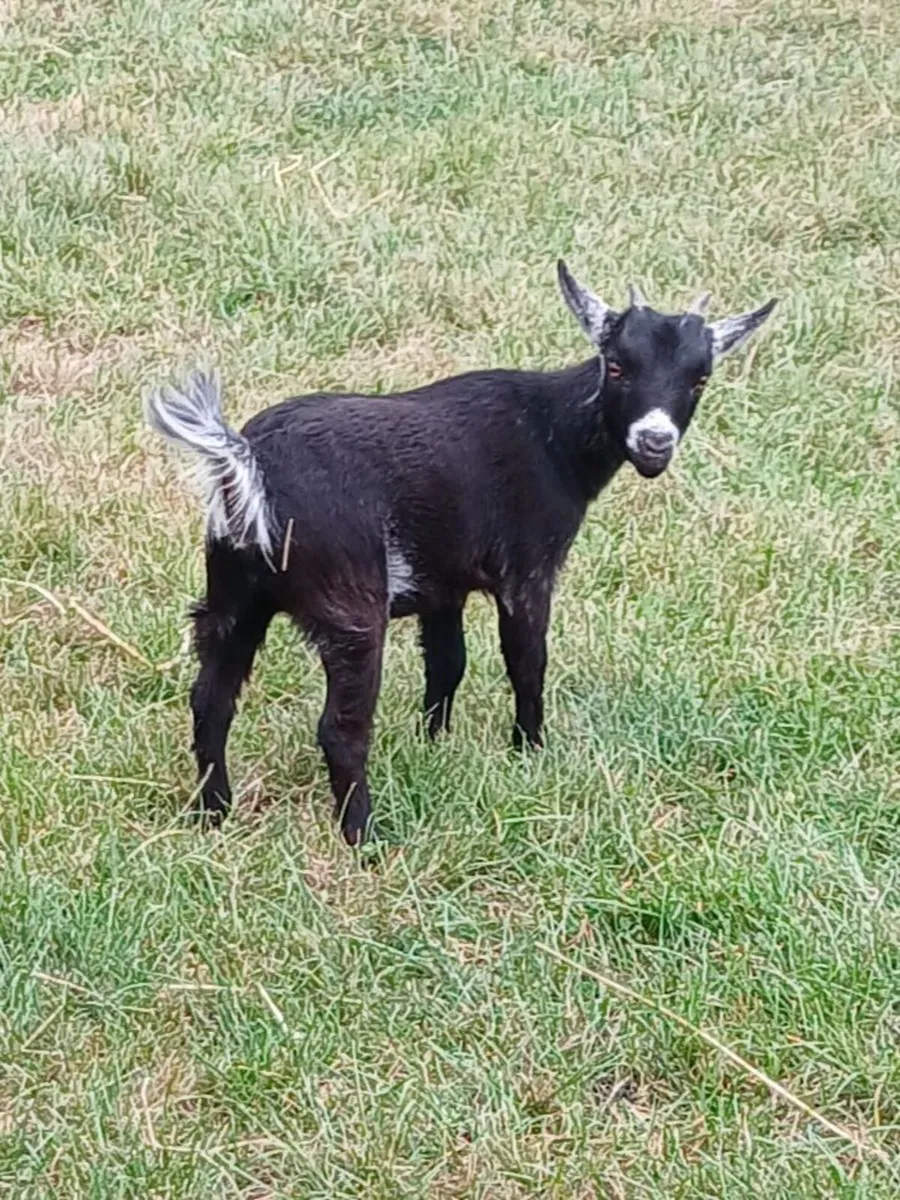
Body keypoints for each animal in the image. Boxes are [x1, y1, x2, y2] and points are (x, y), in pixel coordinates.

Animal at [146, 262, 776, 845]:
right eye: (617, 366)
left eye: (700, 378)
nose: (654, 442)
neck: (552, 435)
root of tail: (247, 463)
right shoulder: (526, 571)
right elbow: (526, 662)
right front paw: (529, 751)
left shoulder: (440, 584)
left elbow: (448, 663)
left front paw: (433, 744)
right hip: (351, 606)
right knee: (340, 729)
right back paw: (364, 838)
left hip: (234, 593)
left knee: (211, 700)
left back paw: (213, 813)